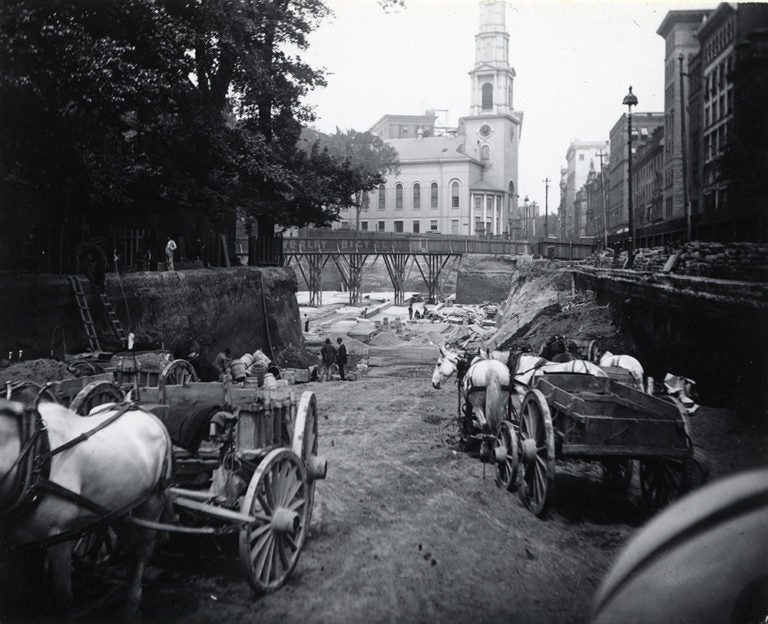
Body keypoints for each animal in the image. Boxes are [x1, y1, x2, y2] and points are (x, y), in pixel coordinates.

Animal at [1, 400, 172, 616]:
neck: (34, 458)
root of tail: (145, 412)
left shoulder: (59, 540)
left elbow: (64, 600)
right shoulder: (17, 548)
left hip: (152, 501)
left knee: (143, 550)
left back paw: (132, 602)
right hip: (118, 509)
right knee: (131, 546)